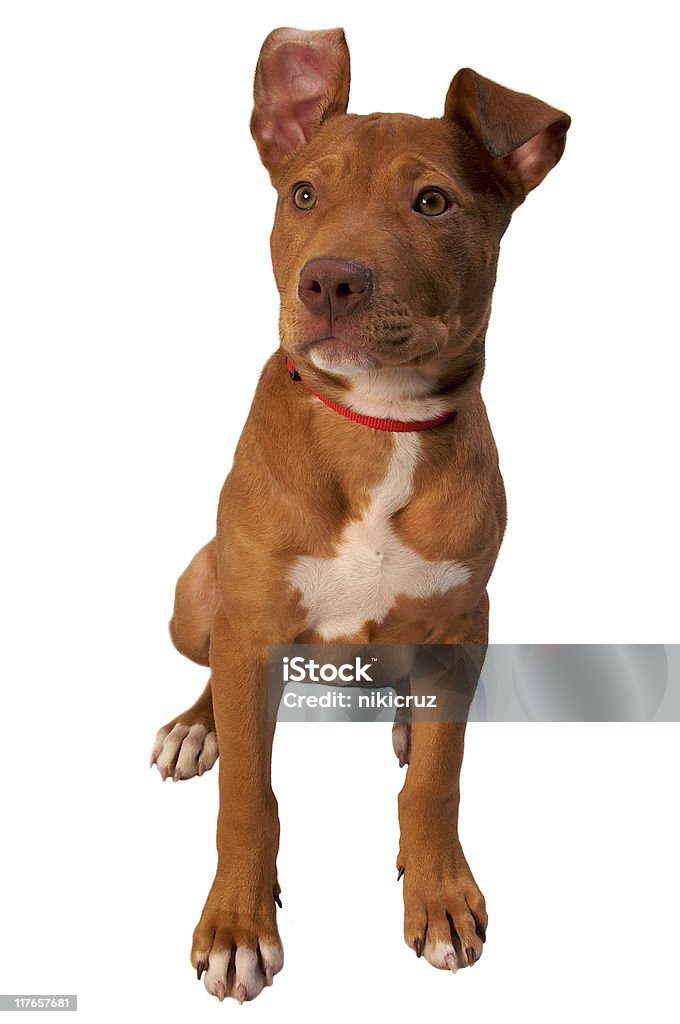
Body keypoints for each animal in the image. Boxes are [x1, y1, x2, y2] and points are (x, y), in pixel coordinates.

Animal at [150, 28, 569, 1003]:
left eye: (433, 202)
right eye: (304, 193)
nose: (330, 282)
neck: (378, 426)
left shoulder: (464, 616)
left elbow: (439, 783)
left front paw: (439, 892)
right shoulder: (250, 617)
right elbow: (247, 798)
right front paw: (237, 924)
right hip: (199, 591)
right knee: (216, 674)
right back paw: (196, 727)